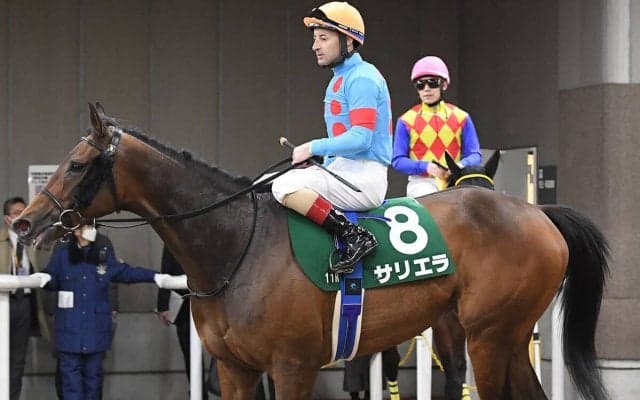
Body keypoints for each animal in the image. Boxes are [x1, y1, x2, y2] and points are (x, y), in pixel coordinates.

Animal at [14, 103, 610, 400]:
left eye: (75, 164)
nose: (23, 222)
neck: (238, 246)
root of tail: (537, 212)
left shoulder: (293, 366)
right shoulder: (235, 369)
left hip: (490, 335)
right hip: (504, 338)